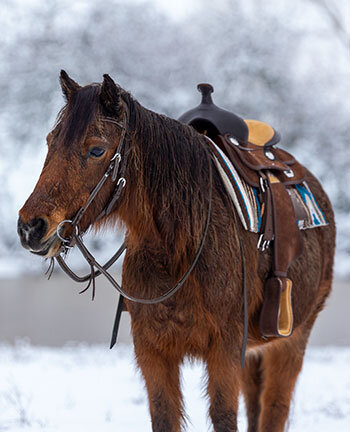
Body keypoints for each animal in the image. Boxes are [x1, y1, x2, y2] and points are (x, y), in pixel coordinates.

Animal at [17, 71, 334, 432]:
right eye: (50, 141)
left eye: (97, 150)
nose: (31, 227)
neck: (179, 249)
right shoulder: (152, 351)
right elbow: (164, 415)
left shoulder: (225, 350)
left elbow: (224, 417)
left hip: (293, 340)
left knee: (274, 409)